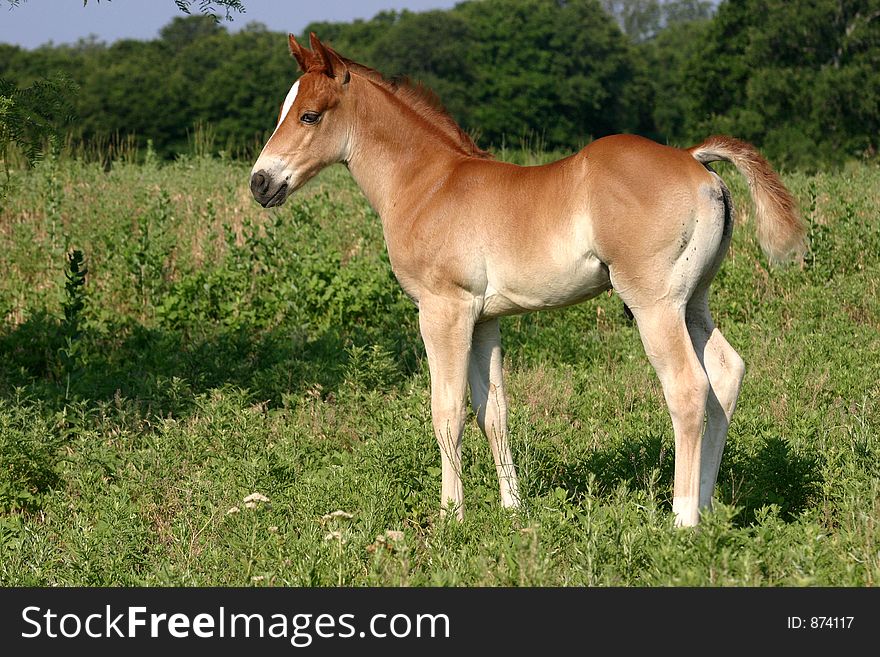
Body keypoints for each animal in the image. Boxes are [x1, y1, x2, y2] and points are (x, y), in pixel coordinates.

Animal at [249, 34, 804, 528]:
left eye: (310, 115)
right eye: (283, 110)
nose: (260, 182)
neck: (429, 184)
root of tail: (695, 161)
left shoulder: (442, 312)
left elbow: (446, 411)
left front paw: (451, 517)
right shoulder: (485, 320)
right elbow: (492, 411)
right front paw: (513, 509)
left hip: (654, 305)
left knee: (688, 389)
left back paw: (683, 518)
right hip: (693, 302)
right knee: (726, 375)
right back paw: (709, 508)